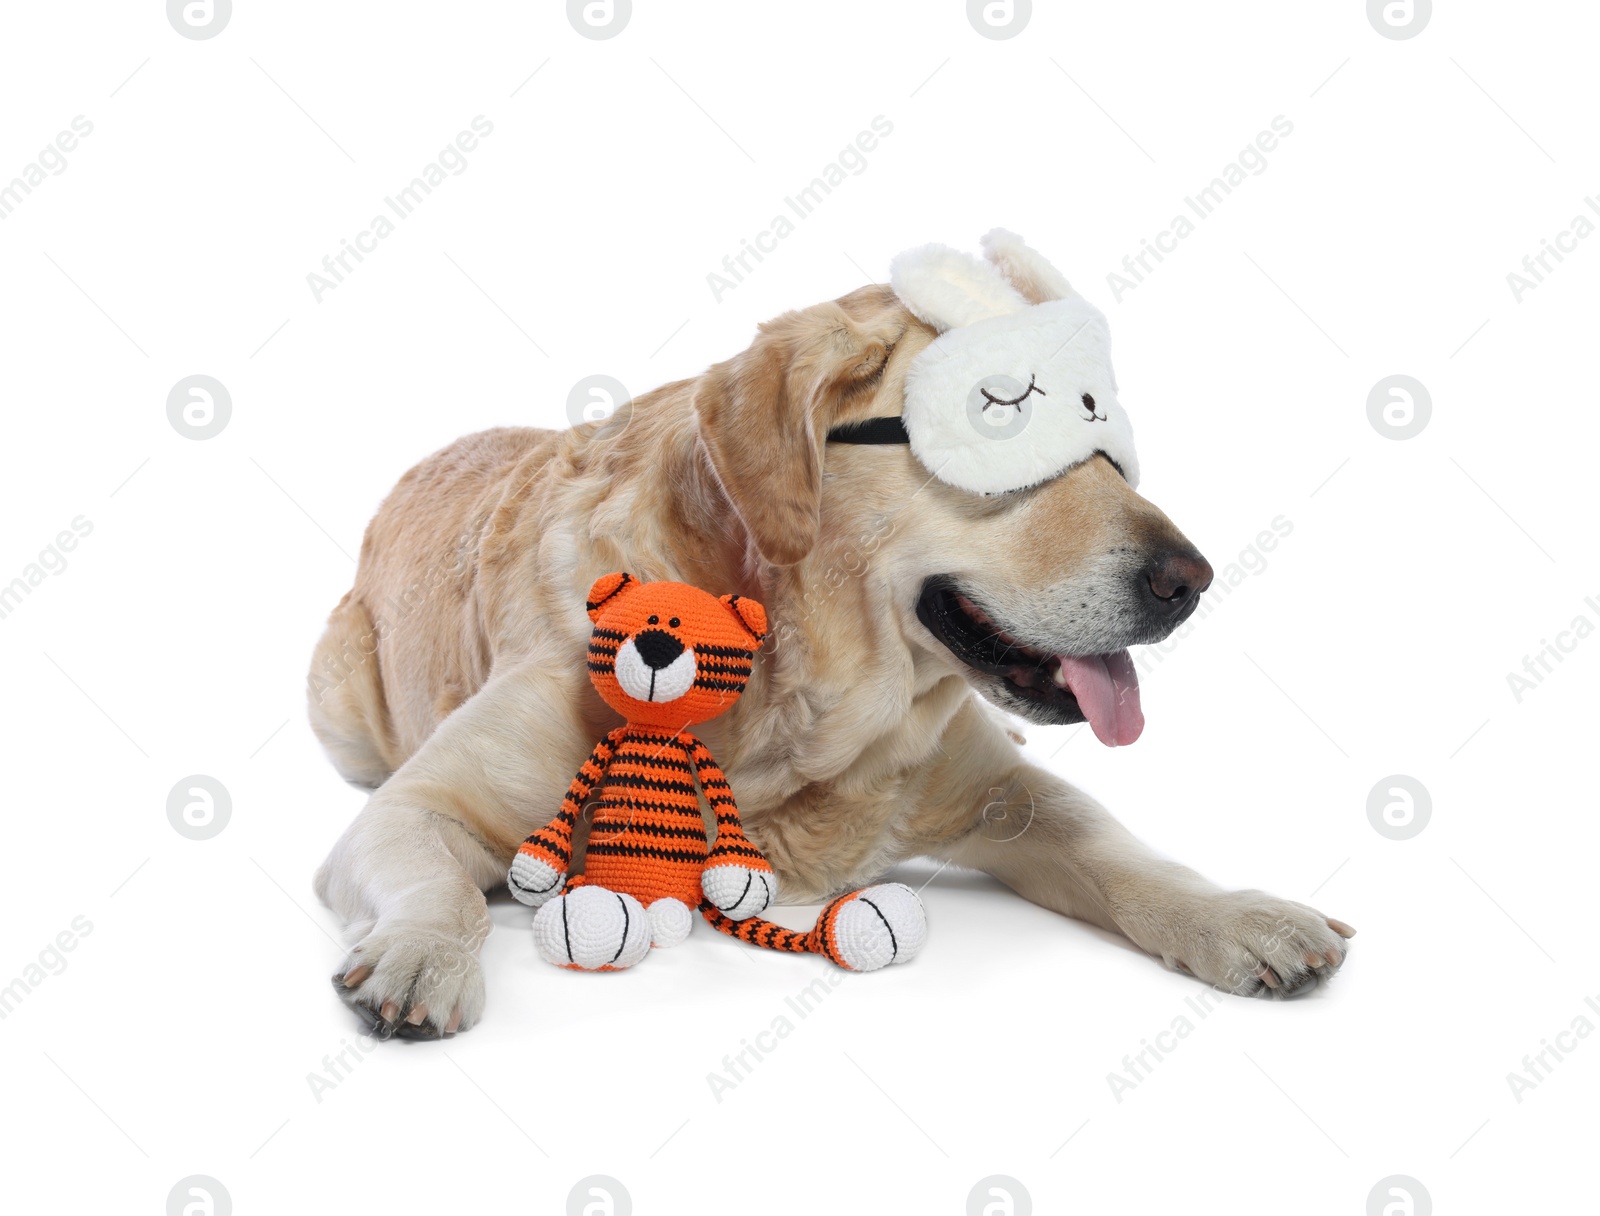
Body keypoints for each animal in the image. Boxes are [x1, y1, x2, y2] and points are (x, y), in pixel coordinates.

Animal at [308, 225, 1350, 1036]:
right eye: (1007, 415)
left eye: (1108, 445)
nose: (1192, 580)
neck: (791, 692)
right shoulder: (419, 805)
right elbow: (438, 882)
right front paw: (422, 954)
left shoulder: (1010, 794)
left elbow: (1121, 851)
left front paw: (1239, 914)